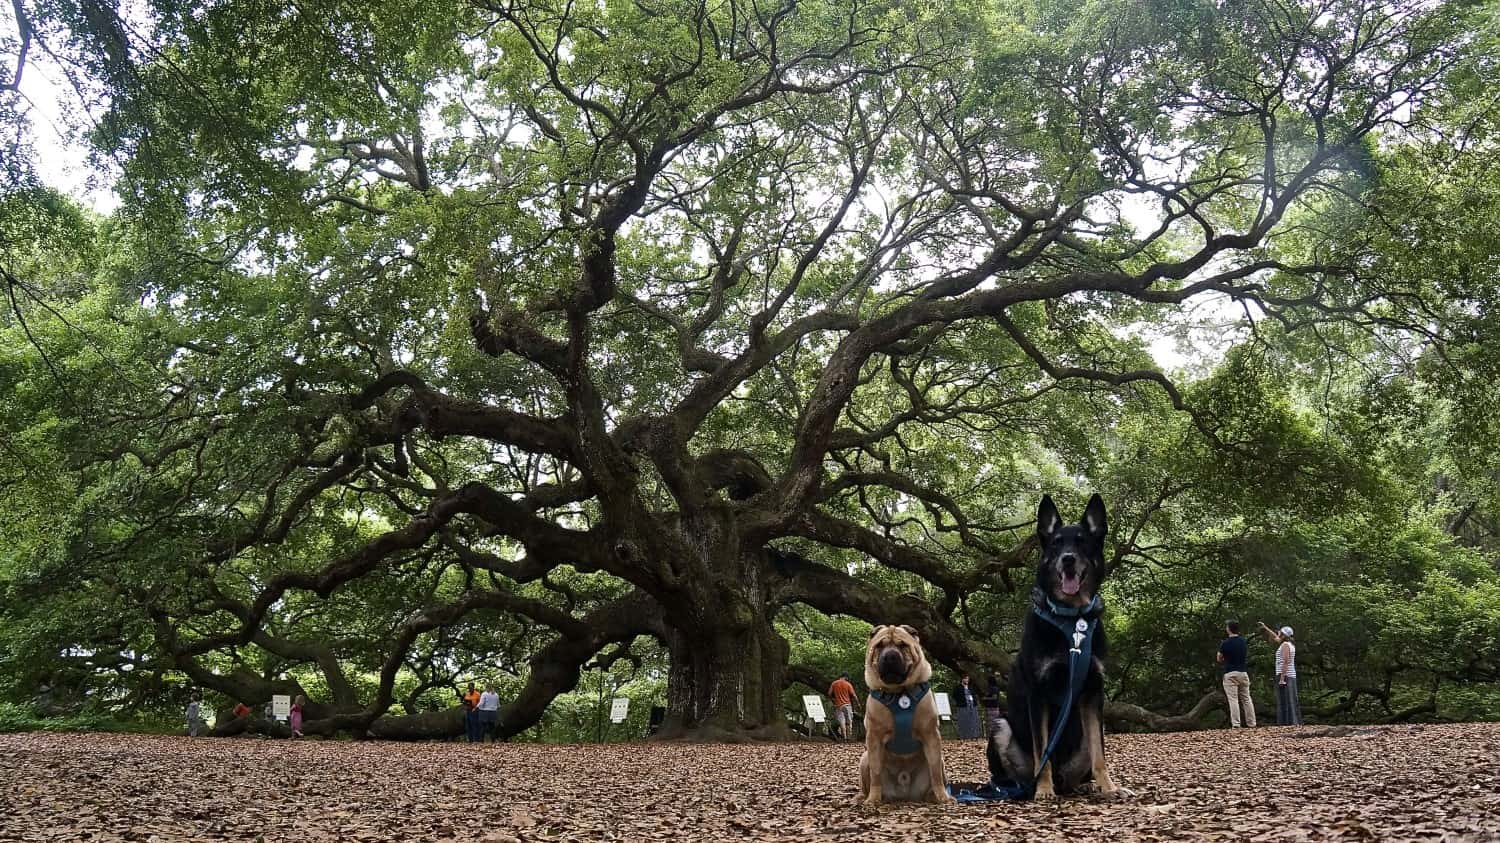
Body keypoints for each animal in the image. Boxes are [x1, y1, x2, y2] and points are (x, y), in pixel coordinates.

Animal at [984, 495, 1128, 798]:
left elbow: (1100, 754)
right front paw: (1043, 790)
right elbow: (1043, 750)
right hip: (1001, 726)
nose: (1068, 558)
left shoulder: (1092, 693)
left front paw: (1109, 786)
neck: (1071, 620)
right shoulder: (1038, 694)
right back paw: (1024, 787)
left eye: (1083, 542)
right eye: (1056, 543)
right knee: (1010, 775)